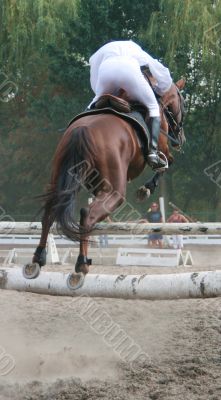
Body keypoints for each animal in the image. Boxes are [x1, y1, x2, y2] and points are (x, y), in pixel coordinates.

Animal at [24, 79, 186, 282]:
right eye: (183, 103)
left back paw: (37, 259)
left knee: (49, 212)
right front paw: (146, 189)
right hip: (115, 192)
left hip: (59, 179)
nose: (180, 138)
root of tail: (81, 129)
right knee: (86, 214)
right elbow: (167, 163)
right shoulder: (162, 148)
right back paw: (82, 264)